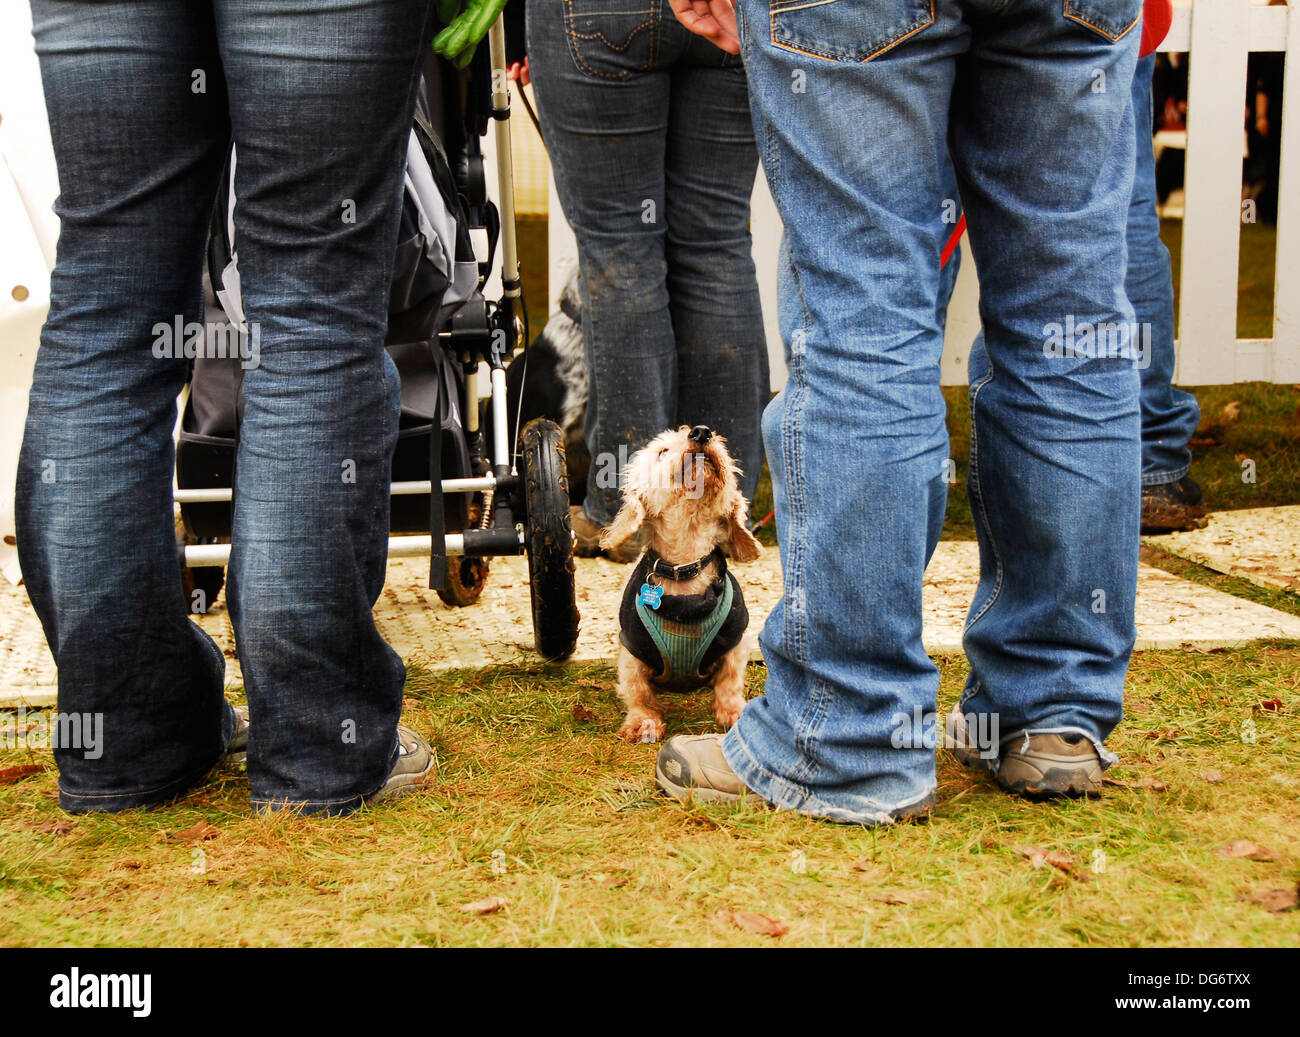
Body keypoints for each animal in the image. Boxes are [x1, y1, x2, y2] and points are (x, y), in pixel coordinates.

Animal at [598, 426, 759, 743]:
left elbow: (730, 681)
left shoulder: (735, 640)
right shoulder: (632, 647)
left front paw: (734, 713)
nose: (702, 432)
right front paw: (644, 722)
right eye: (661, 451)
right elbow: (637, 690)